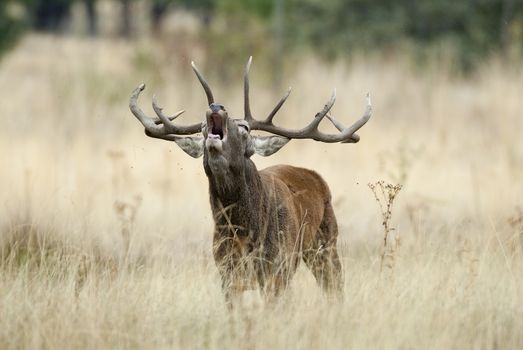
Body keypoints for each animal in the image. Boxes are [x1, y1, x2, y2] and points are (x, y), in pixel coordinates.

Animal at [128, 57, 370, 306]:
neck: (245, 231)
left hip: (326, 241)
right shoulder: (227, 272)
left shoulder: (277, 269)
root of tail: (316, 177)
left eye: (244, 129)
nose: (217, 106)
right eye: (203, 130)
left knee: (335, 286)